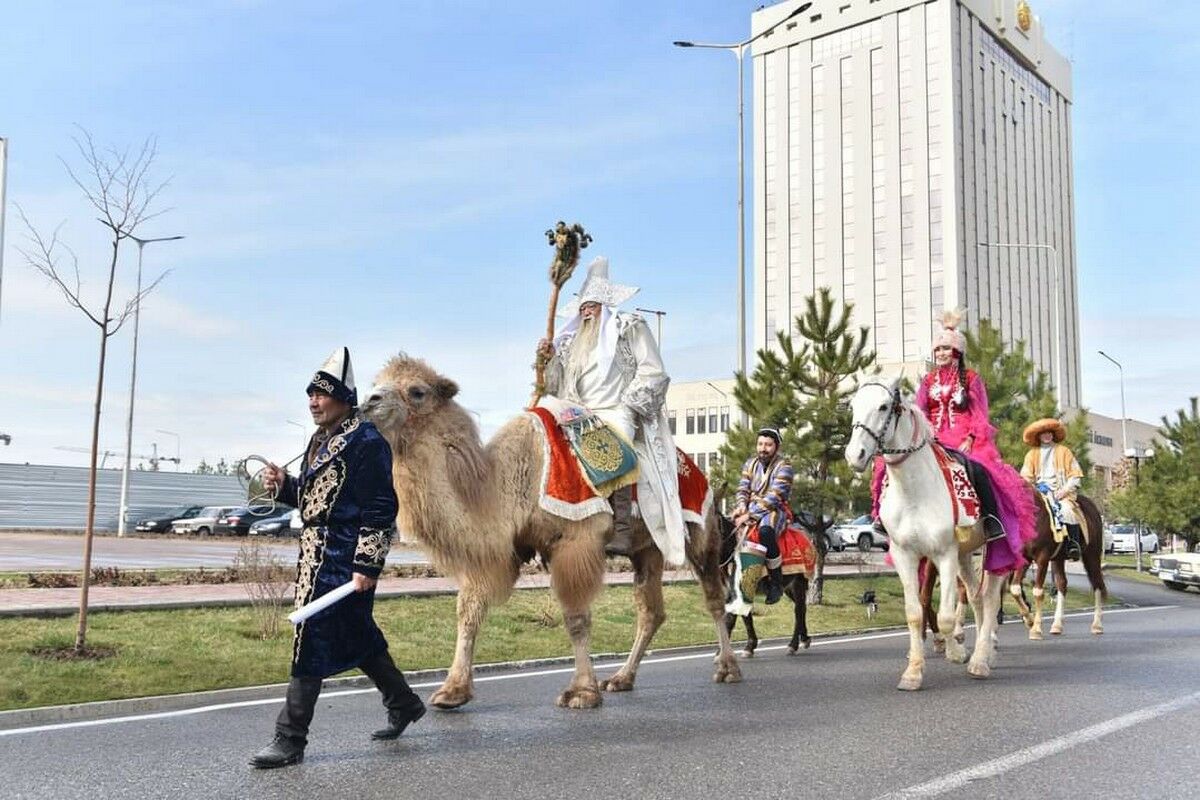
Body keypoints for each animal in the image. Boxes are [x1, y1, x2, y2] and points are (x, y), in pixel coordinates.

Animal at [360, 352, 739, 710]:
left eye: (417, 391)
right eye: (377, 382)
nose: (369, 401)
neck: (506, 482)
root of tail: (701, 475)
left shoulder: (575, 541)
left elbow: (576, 617)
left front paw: (581, 692)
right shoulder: (499, 551)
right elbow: (469, 612)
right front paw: (452, 691)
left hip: (701, 533)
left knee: (714, 597)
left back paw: (726, 667)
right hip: (647, 549)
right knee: (651, 611)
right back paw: (621, 678)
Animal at [844, 379, 1003, 690]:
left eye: (884, 406)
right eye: (853, 405)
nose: (854, 455)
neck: (915, 491)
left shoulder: (945, 554)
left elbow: (945, 616)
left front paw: (955, 651)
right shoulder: (904, 555)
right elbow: (915, 612)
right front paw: (913, 672)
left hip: (996, 553)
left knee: (990, 598)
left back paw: (981, 658)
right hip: (967, 555)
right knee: (977, 597)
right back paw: (983, 653)